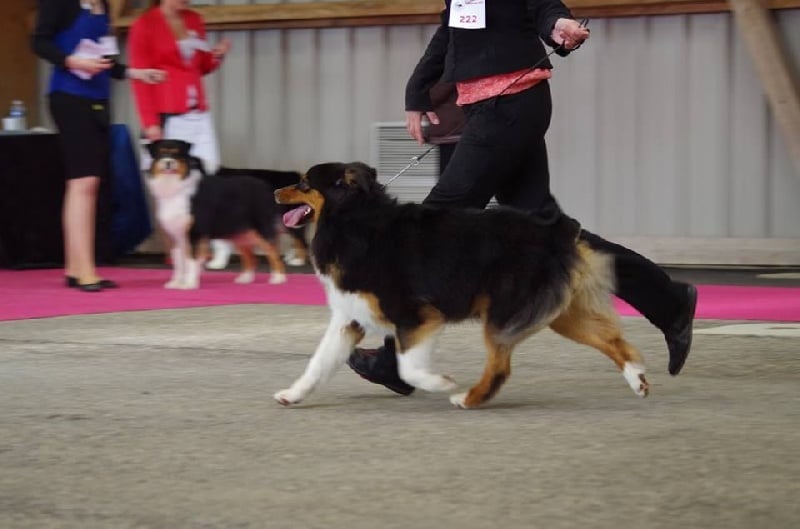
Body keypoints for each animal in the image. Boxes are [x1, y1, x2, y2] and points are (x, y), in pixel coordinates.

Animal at [144, 139, 287, 289]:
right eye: (161, 153)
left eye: (177, 154)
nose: (168, 162)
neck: (176, 186)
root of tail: (266, 187)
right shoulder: (174, 236)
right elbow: (178, 263)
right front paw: (176, 283)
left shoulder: (195, 233)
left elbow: (191, 261)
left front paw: (189, 284)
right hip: (239, 232)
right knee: (250, 256)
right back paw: (245, 279)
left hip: (261, 228)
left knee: (273, 252)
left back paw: (278, 279)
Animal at [272, 162, 649, 409]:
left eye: (304, 184)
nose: (275, 190)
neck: (352, 221)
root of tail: (556, 231)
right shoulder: (349, 318)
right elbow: (319, 362)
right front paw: (292, 395)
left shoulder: (418, 315)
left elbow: (409, 366)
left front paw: (440, 382)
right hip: (560, 313)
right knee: (613, 341)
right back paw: (638, 379)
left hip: (502, 312)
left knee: (500, 366)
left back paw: (466, 398)